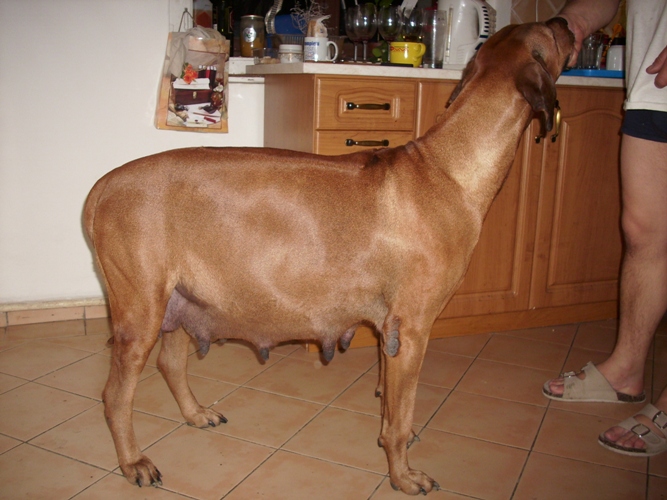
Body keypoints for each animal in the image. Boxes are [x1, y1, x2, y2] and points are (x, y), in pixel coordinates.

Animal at [83, 19, 573, 495]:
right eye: (552, 32)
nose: (568, 22)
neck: (446, 167)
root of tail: (102, 186)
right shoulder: (414, 331)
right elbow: (401, 418)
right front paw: (402, 475)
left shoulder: (390, 333)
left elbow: (389, 402)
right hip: (142, 310)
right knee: (115, 397)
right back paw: (133, 461)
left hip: (180, 300)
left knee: (169, 363)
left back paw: (195, 413)